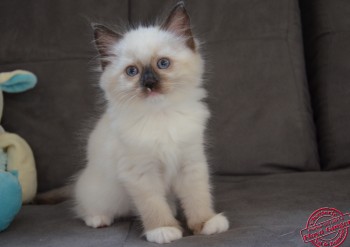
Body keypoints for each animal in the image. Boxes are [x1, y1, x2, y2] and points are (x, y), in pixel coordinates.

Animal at [74, 2, 230, 244]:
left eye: (163, 64)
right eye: (132, 71)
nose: (149, 83)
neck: (161, 116)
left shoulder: (190, 162)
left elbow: (198, 197)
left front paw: (206, 223)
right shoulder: (140, 173)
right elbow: (153, 206)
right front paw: (163, 230)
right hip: (98, 192)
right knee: (85, 207)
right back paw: (98, 219)